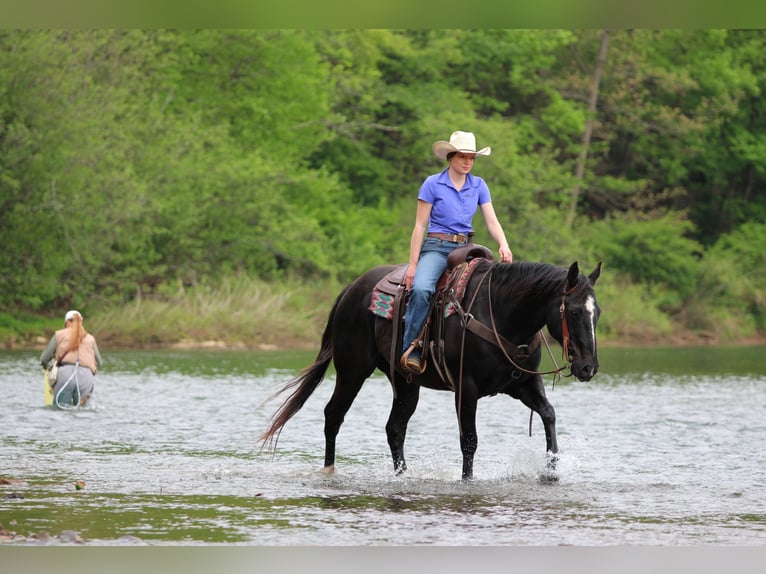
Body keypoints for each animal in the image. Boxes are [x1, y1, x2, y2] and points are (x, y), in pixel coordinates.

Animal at [260, 257, 602, 480]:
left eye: (596, 312)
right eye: (572, 311)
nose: (588, 367)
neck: (501, 313)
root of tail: (351, 289)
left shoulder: (522, 385)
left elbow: (549, 414)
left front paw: (551, 471)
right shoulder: (466, 388)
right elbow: (469, 440)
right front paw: (467, 481)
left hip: (405, 382)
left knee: (394, 428)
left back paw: (402, 475)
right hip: (352, 370)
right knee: (334, 415)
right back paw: (329, 470)